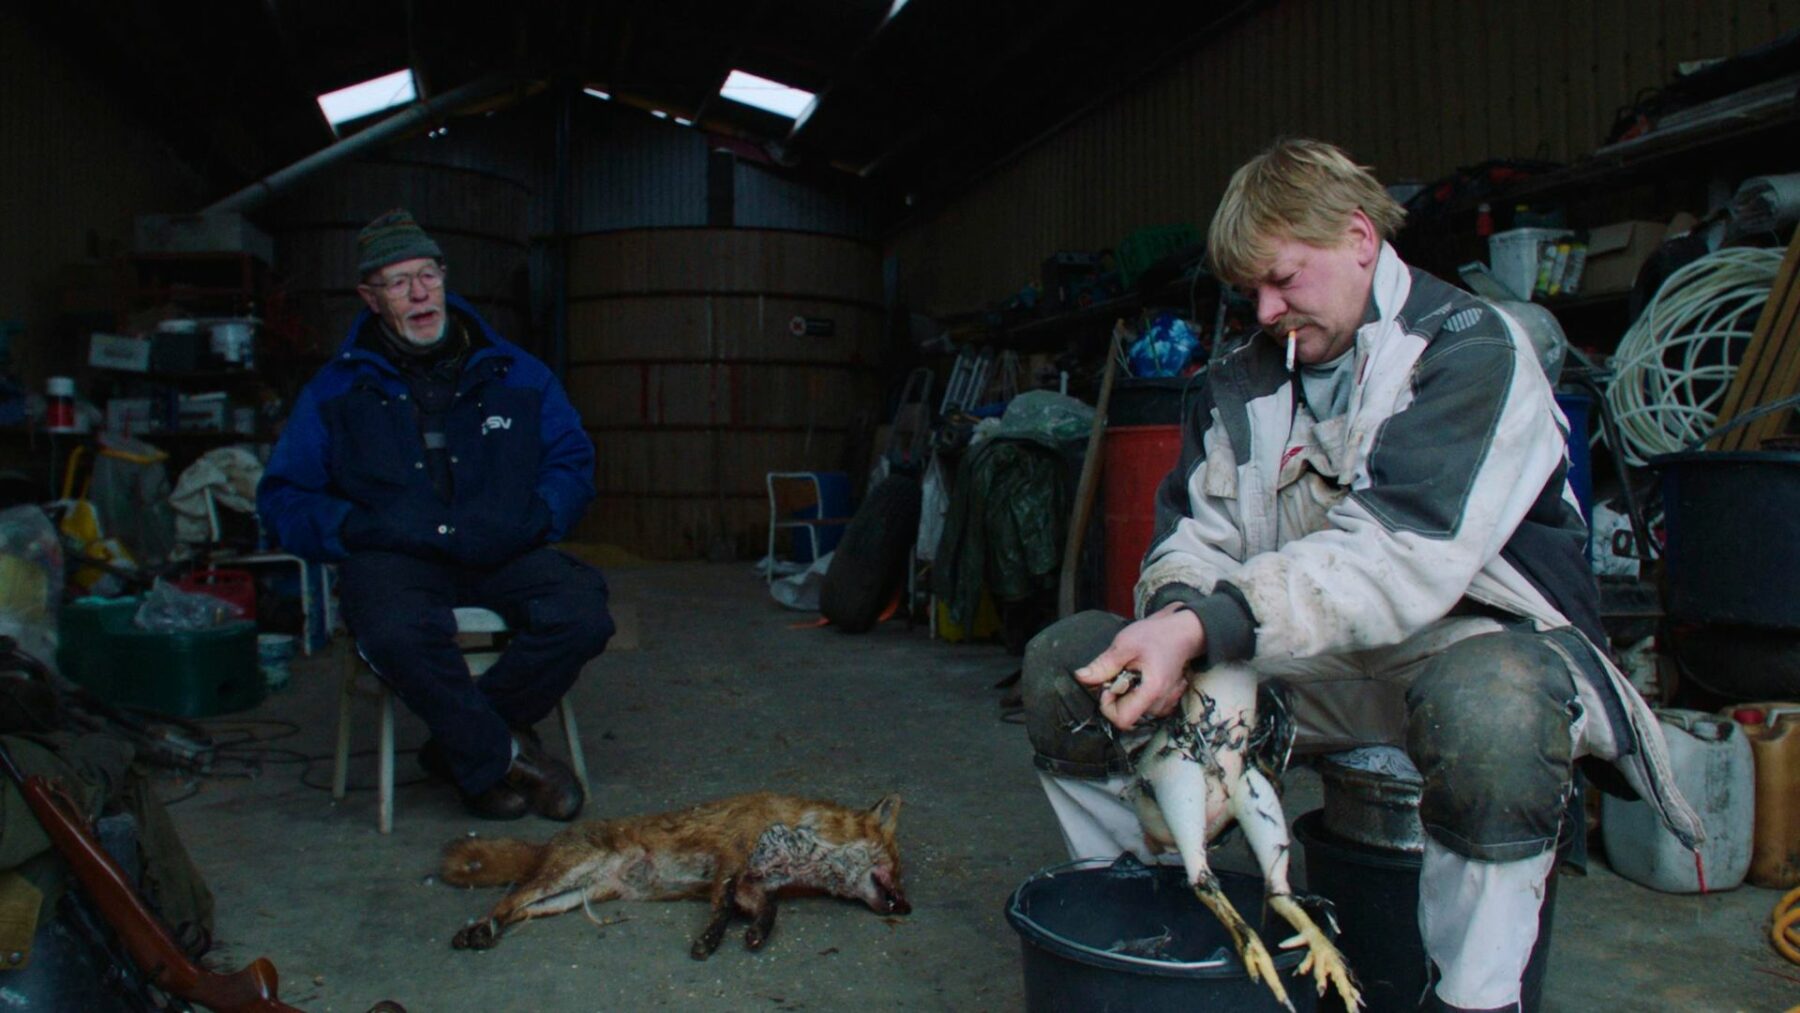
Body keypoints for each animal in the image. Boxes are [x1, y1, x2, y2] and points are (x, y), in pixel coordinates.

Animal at [442, 791, 907, 957]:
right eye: (896, 865)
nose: (907, 906)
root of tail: (550, 842)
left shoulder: (752, 884)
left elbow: (768, 912)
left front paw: (755, 934)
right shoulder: (730, 861)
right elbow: (721, 911)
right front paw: (709, 941)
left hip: (566, 898)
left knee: (515, 909)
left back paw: (487, 931)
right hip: (562, 876)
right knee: (506, 898)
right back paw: (475, 930)